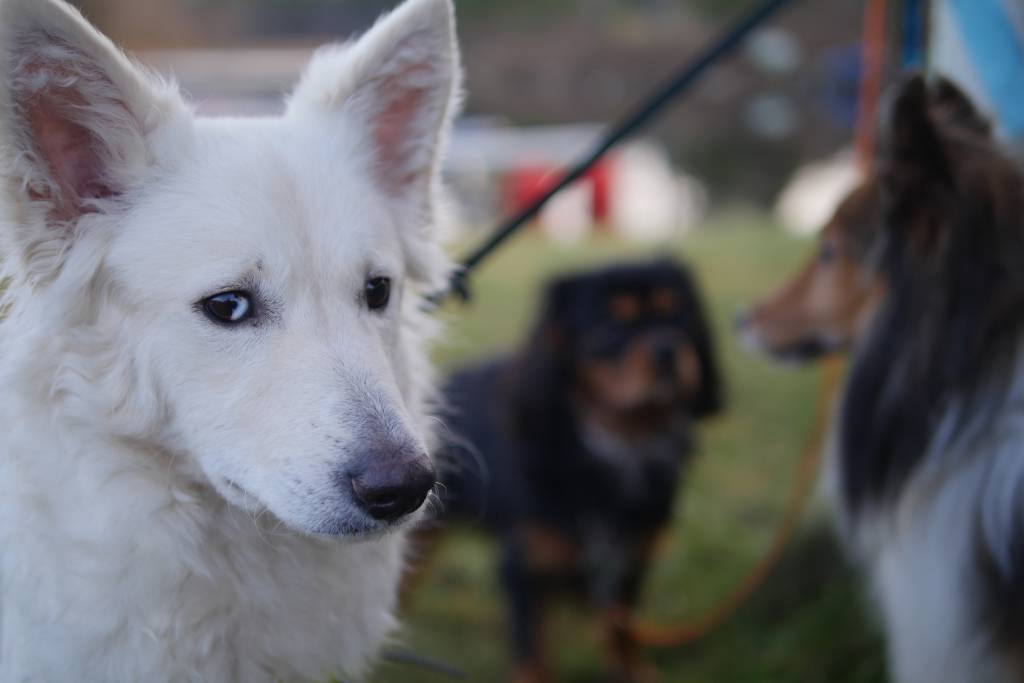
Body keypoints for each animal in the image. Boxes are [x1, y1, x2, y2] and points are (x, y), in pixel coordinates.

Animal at [437, 259, 722, 683]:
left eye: (681, 317)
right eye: (611, 326)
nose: (667, 348)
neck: (623, 442)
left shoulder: (628, 560)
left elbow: (621, 629)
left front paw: (632, 671)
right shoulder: (524, 568)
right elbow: (534, 650)